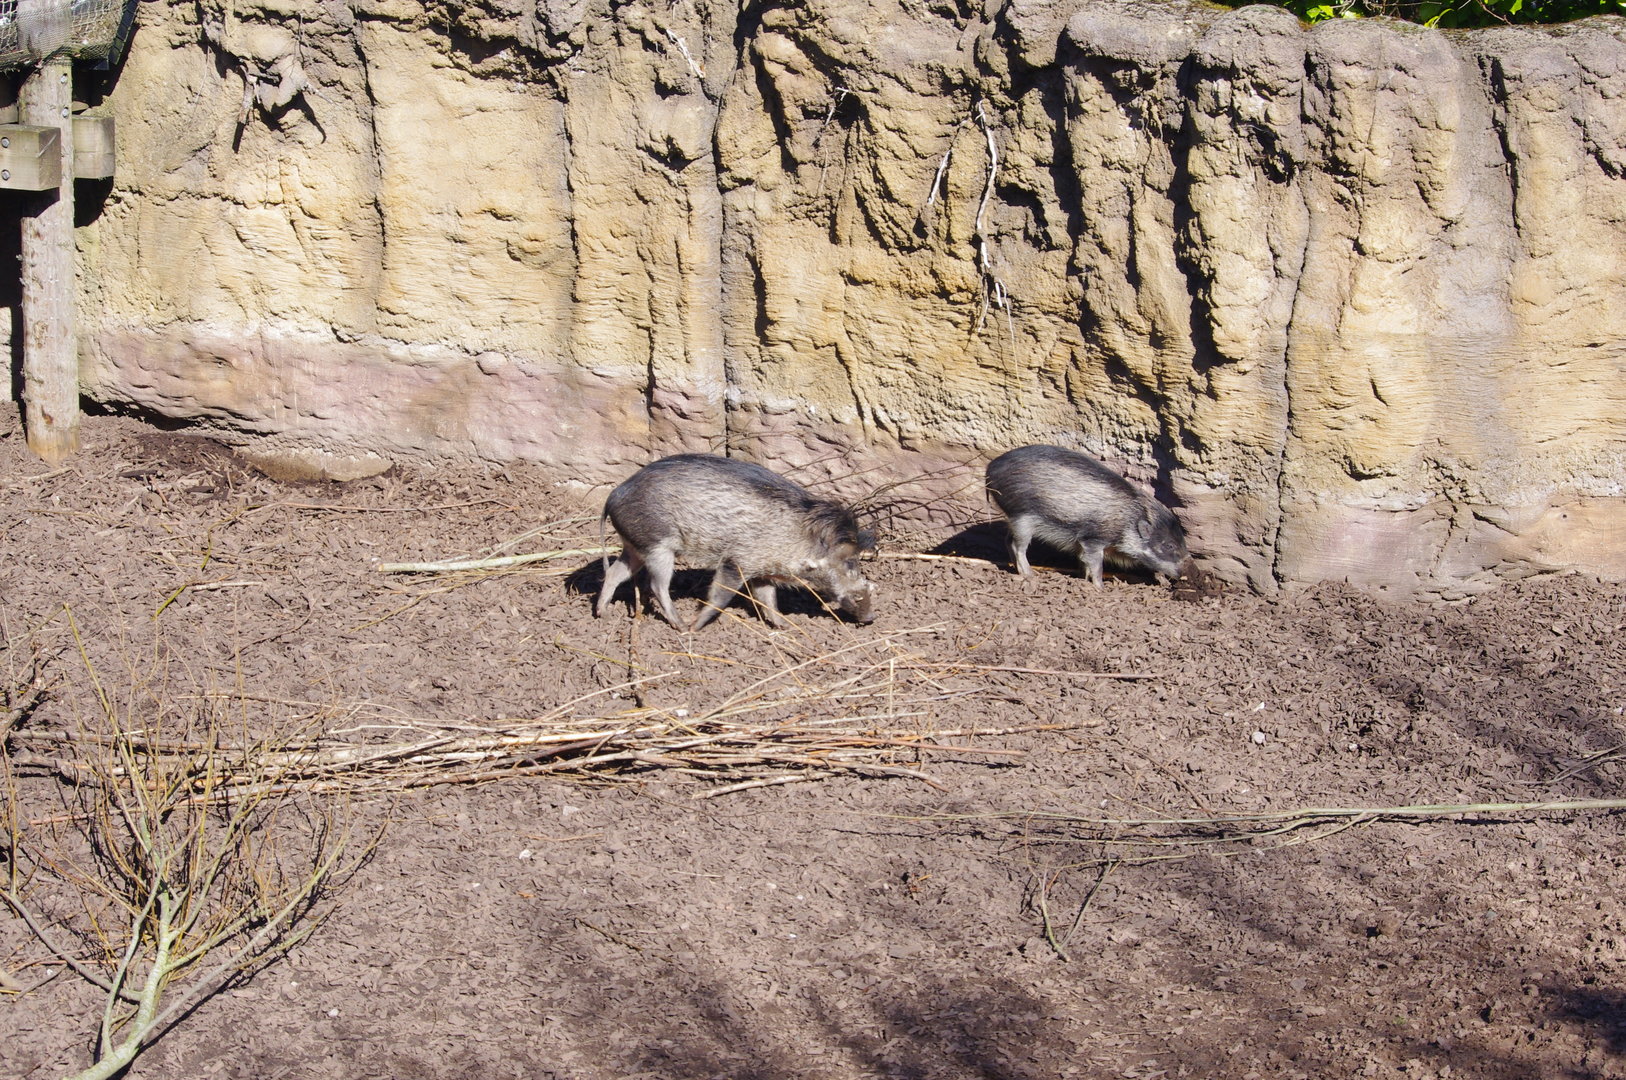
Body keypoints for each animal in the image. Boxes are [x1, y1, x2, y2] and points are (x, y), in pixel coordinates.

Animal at [594, 454, 877, 631]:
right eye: (849, 561)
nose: (872, 617)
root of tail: (612, 496)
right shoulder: (736, 563)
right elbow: (721, 596)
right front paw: (696, 627)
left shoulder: (762, 571)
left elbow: (768, 600)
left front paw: (786, 627)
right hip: (658, 547)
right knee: (657, 586)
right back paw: (681, 626)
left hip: (635, 547)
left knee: (615, 573)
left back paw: (602, 613)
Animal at [984, 444, 1189, 587]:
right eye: (1169, 545)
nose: (1188, 573)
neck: (1127, 521)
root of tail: (990, 469)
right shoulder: (1093, 539)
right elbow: (1096, 565)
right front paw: (1100, 588)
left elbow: (1084, 562)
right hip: (1022, 518)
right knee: (1017, 546)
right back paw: (1030, 575)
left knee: (1007, 540)